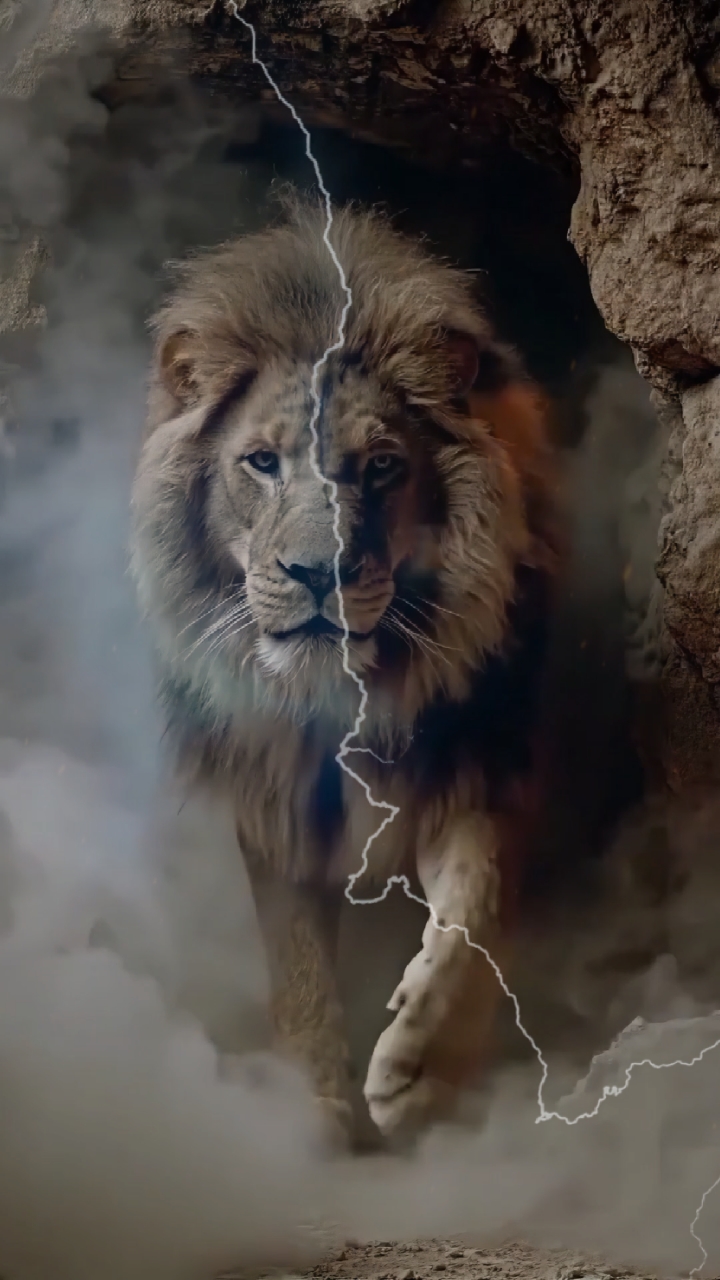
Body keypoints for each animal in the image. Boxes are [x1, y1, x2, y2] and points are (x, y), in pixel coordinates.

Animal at [130, 195, 560, 1146]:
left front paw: (418, 1072)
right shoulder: (274, 804)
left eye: (383, 466)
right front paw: (312, 1112)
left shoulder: (478, 768)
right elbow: (294, 959)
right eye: (261, 462)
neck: (337, 700)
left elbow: (476, 912)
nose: (316, 572)